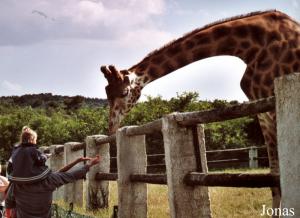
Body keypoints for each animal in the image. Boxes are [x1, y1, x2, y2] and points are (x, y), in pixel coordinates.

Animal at [101, 9, 300, 211]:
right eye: (107, 93)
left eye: (124, 92)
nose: (111, 127)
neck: (249, 46)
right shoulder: (263, 112)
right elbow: (275, 178)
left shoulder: (274, 104)